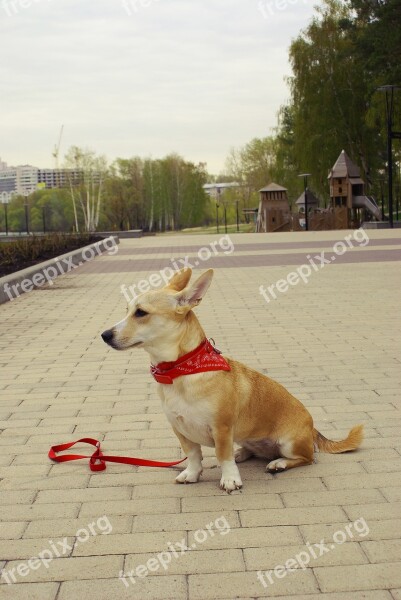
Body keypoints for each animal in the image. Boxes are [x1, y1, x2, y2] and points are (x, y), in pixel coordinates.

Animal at [101, 268, 362, 492]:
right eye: (127, 310)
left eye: (141, 313)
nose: (104, 335)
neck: (182, 370)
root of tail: (313, 428)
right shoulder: (180, 429)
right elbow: (194, 456)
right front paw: (192, 474)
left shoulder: (222, 428)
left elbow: (222, 455)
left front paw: (230, 479)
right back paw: (243, 454)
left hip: (289, 443)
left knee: (306, 458)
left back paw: (279, 463)